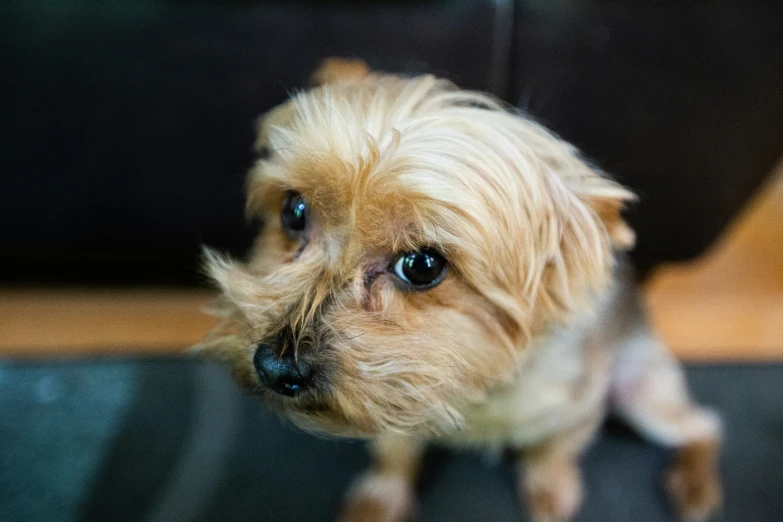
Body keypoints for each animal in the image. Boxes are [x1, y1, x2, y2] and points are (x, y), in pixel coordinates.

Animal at [198, 59, 724, 516]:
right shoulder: (395, 398)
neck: (472, 387)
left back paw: (696, 486)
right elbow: (394, 451)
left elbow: (551, 450)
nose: (274, 367)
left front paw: (550, 489)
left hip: (642, 390)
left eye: (422, 265)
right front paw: (380, 499)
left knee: (703, 426)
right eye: (294, 211)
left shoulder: (579, 405)